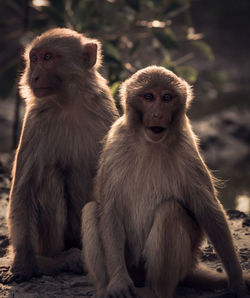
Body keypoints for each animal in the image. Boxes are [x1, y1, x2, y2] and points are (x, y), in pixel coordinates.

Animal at [5, 26, 119, 282]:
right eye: (34, 58)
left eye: (48, 57)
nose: (34, 76)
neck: (69, 103)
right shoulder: (35, 120)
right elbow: (24, 188)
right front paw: (23, 263)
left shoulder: (105, 113)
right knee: (48, 177)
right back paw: (57, 260)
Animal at [81, 67, 248, 298]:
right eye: (149, 97)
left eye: (167, 98)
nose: (158, 114)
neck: (149, 142)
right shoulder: (115, 143)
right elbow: (110, 209)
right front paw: (118, 282)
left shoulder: (187, 149)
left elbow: (208, 210)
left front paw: (237, 282)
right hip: (132, 265)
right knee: (91, 210)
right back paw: (105, 290)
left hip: (184, 261)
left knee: (170, 211)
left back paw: (155, 290)